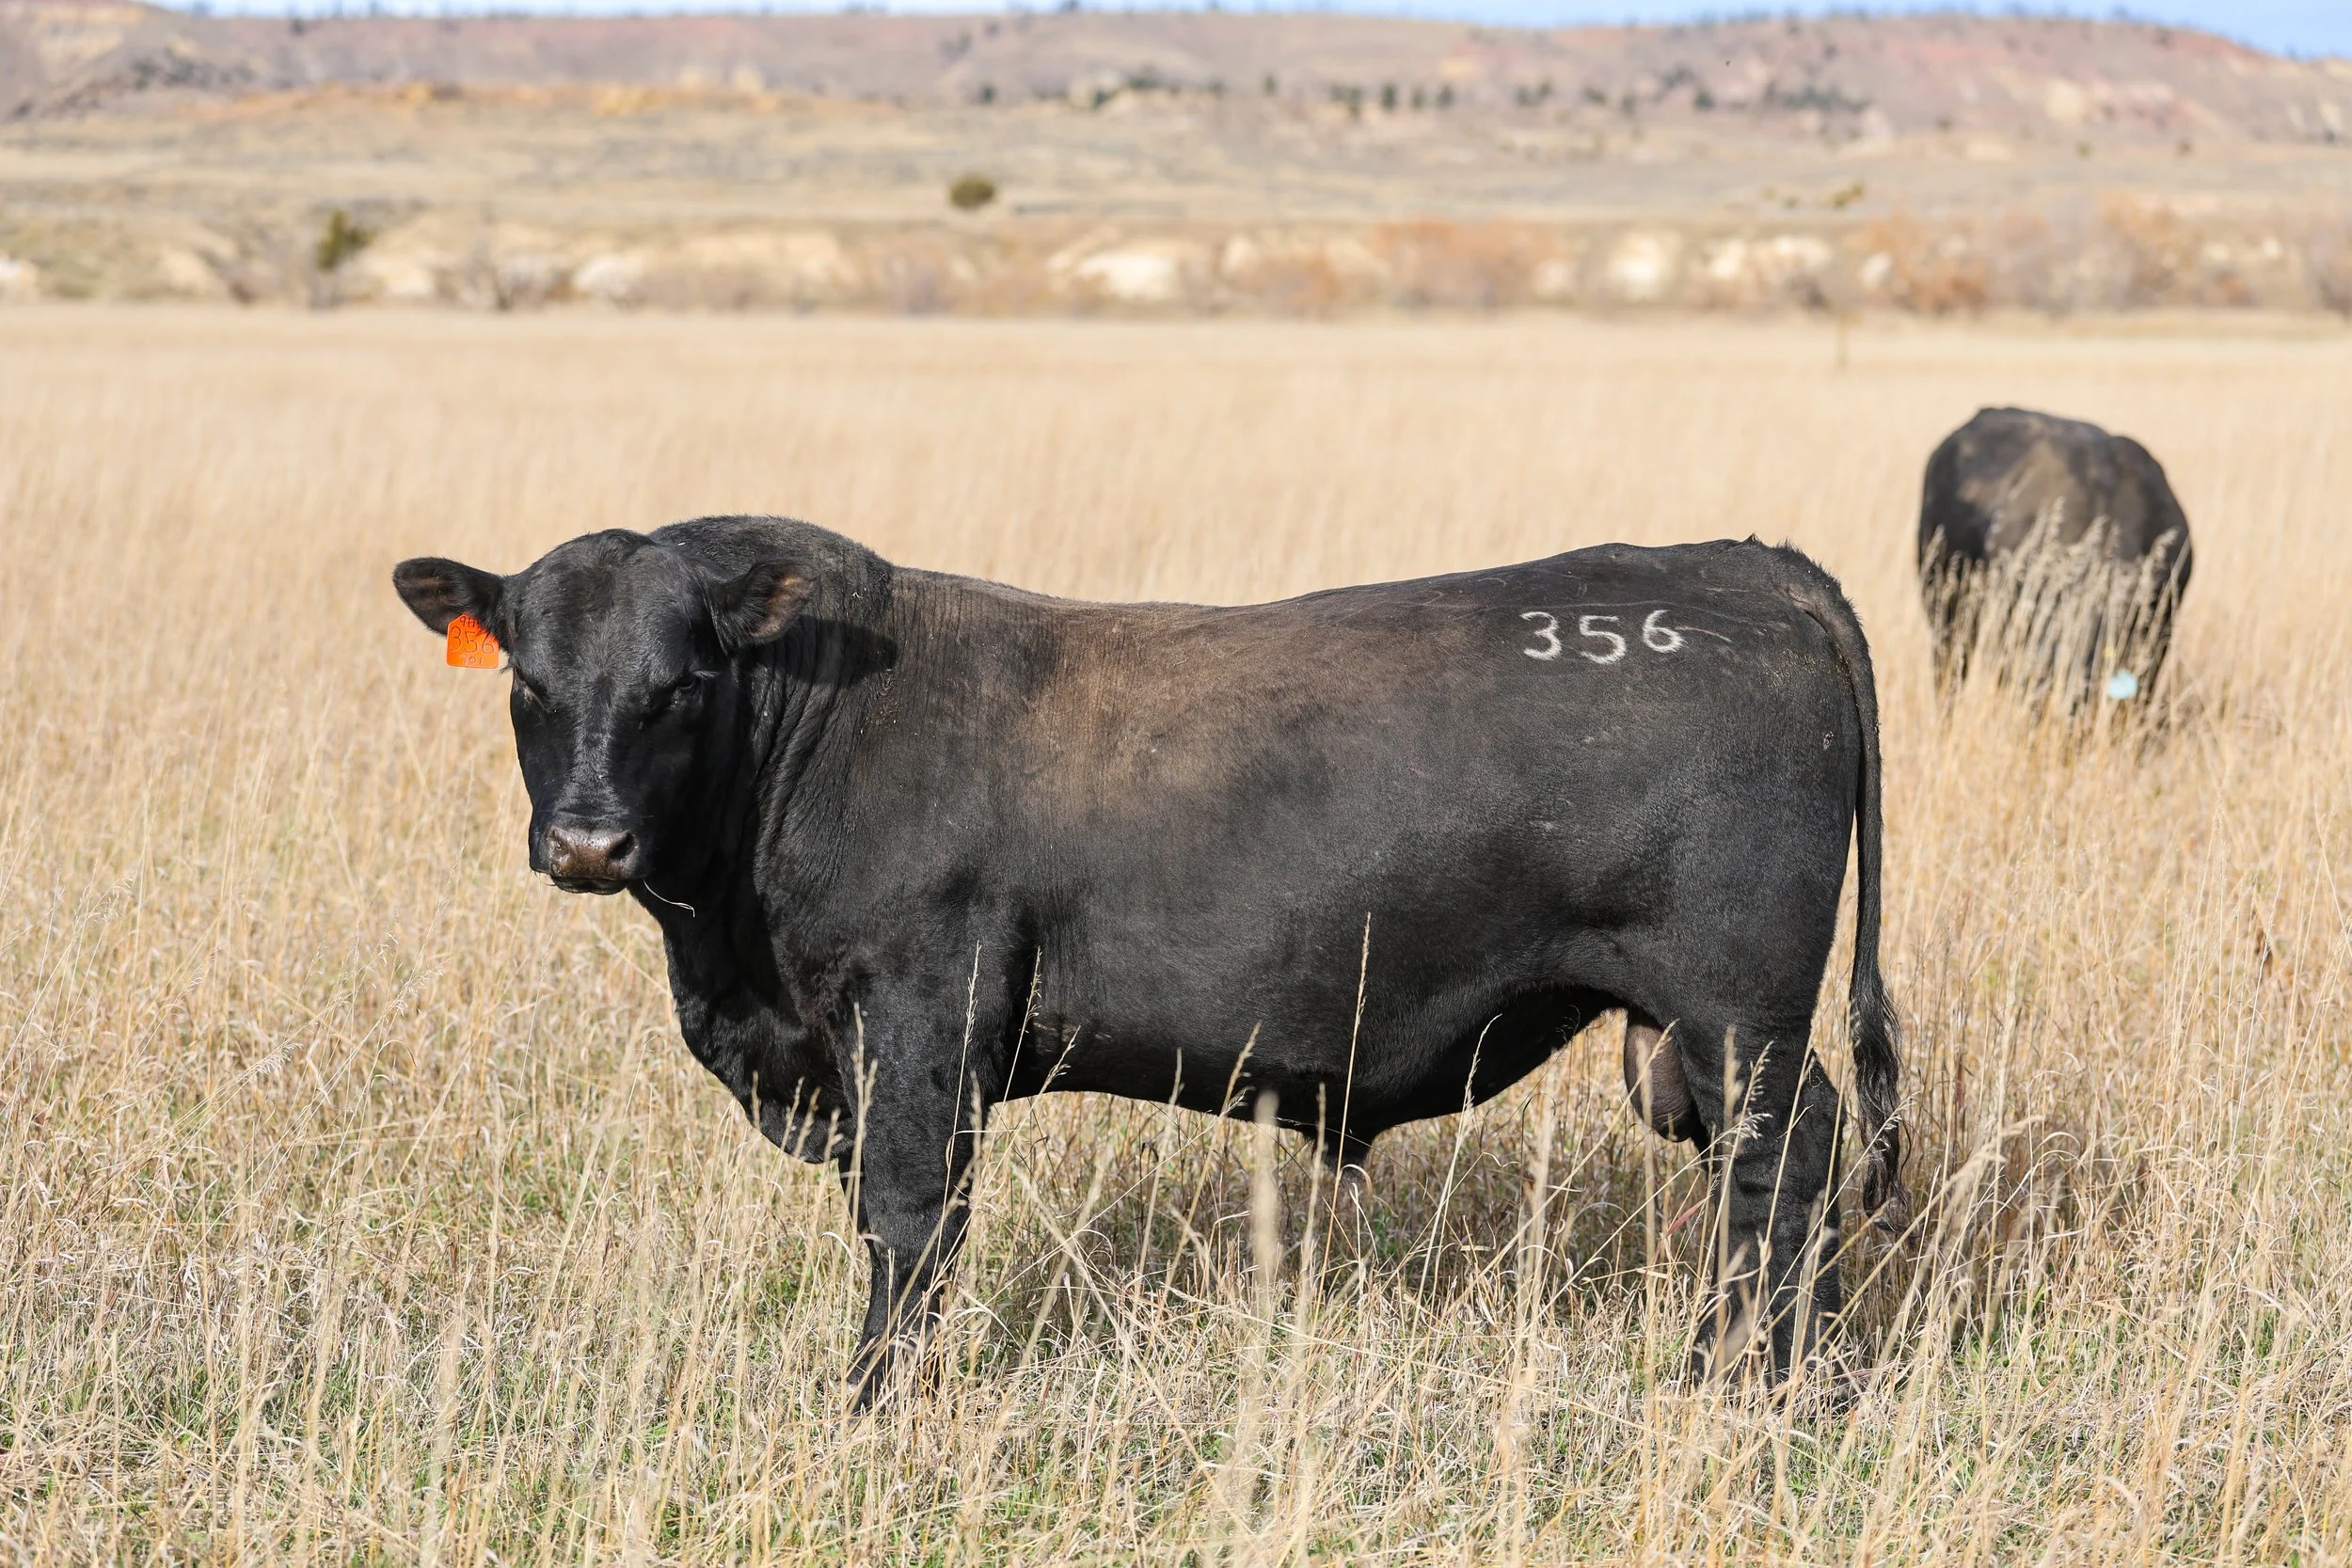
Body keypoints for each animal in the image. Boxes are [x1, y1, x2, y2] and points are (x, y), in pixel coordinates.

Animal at [393, 517, 1906, 1402]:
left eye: (683, 681)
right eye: (530, 680)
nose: (588, 839)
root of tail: (1743, 561)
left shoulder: (920, 1017)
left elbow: (906, 1216)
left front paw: (875, 1400)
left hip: (1735, 1008)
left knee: (1782, 1164)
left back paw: (1754, 1381)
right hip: (1698, 1033)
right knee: (1775, 1167)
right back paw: (1781, 1367)